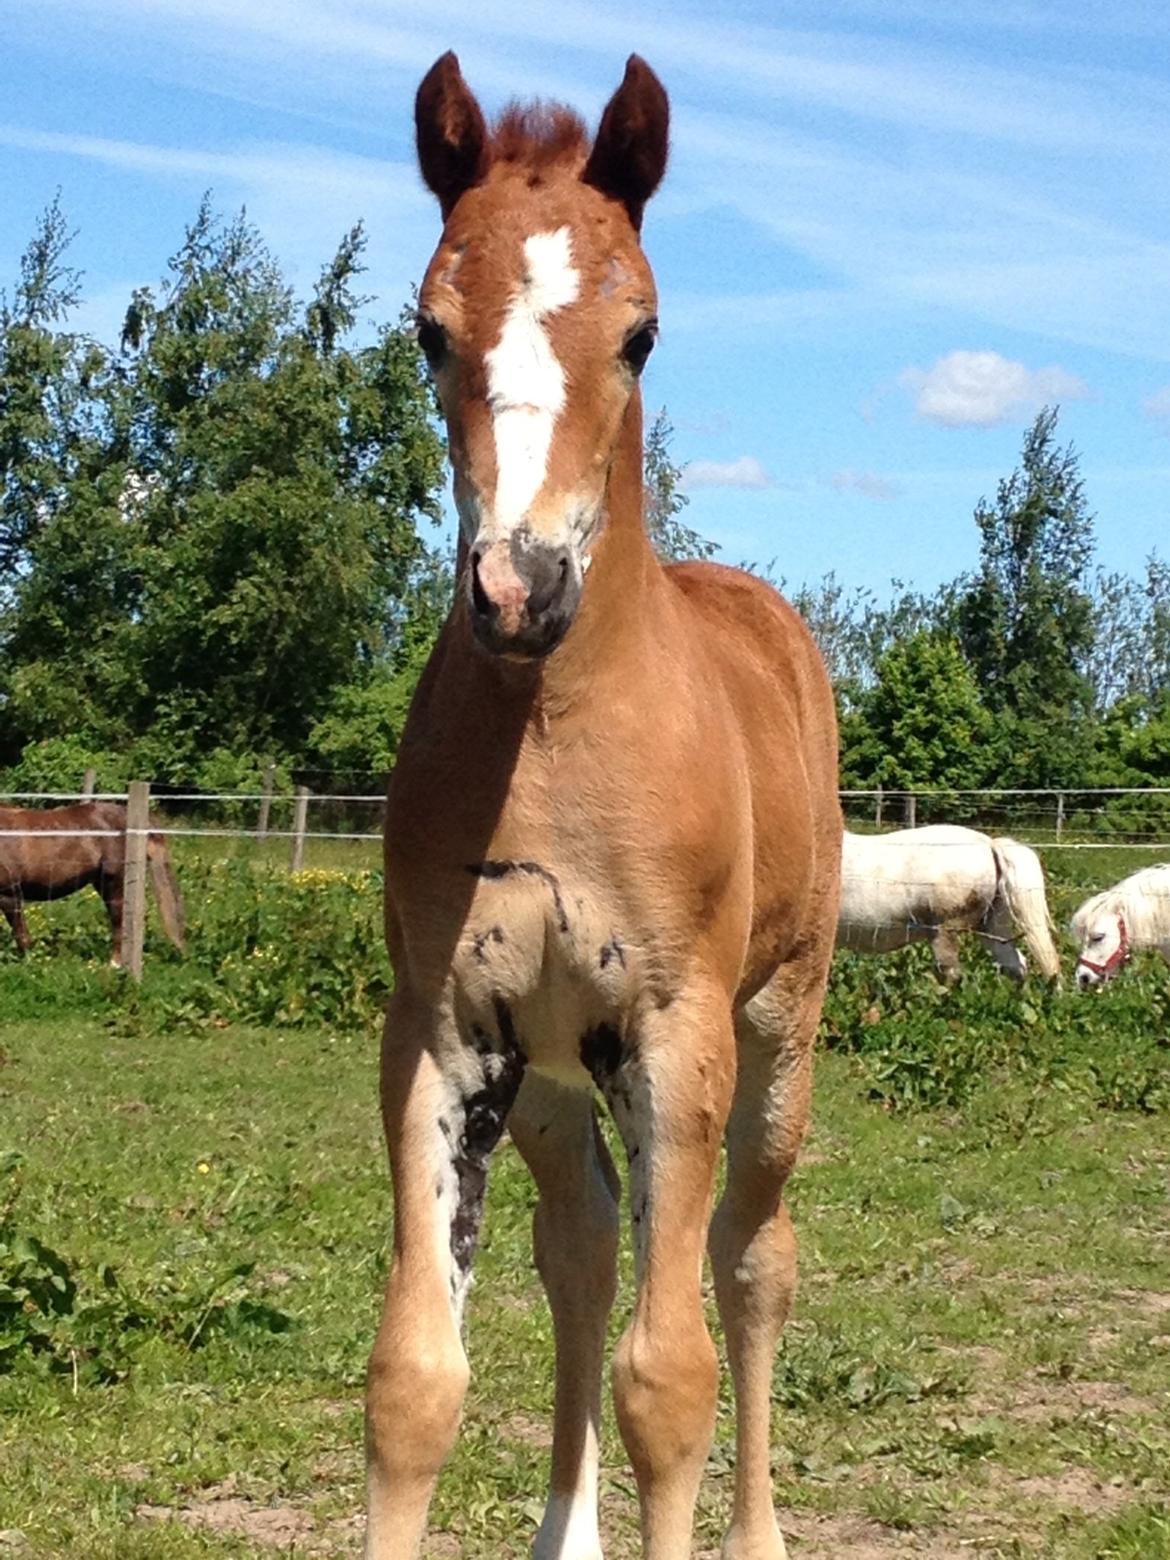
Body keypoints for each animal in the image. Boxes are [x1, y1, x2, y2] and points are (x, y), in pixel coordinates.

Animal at [366, 51, 842, 1560]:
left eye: (640, 335)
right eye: (426, 331)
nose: (519, 591)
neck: (556, 735)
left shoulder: (676, 1034)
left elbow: (668, 1376)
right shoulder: (446, 1033)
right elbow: (415, 1375)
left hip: (773, 1036)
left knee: (751, 1260)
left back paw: (758, 1533)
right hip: (555, 1073)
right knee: (576, 1247)